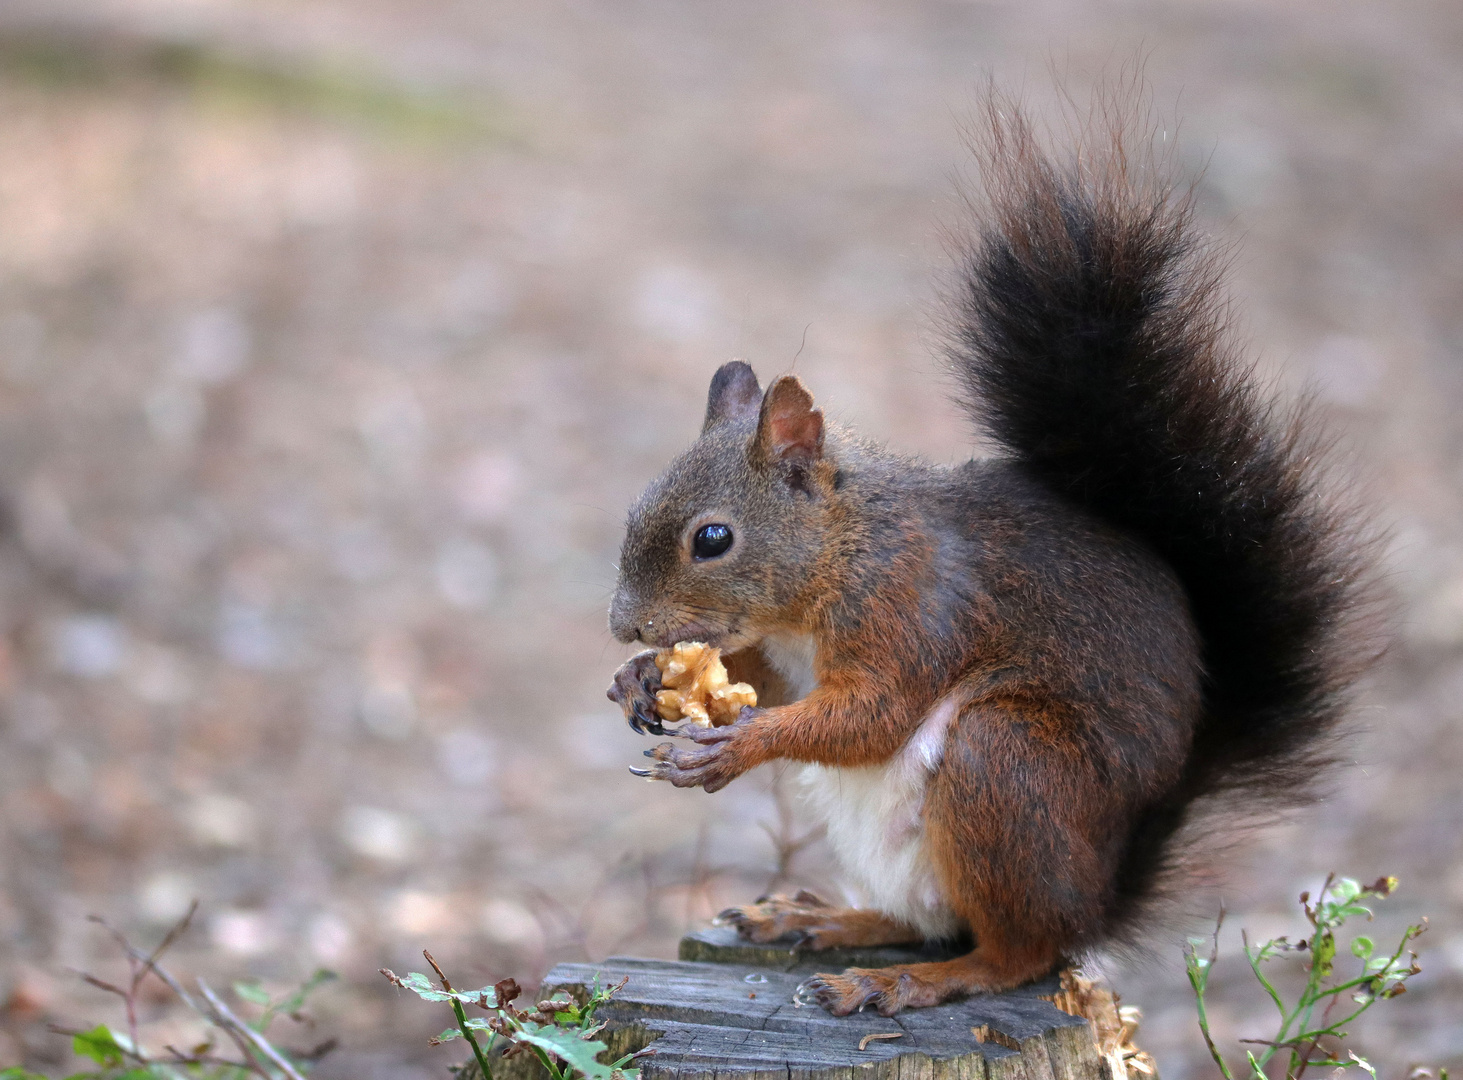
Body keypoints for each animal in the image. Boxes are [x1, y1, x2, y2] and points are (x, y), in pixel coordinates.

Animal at [599, 98, 1375, 1006]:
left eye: (712, 539)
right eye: (635, 508)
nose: (624, 626)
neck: (842, 550)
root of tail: (1101, 896)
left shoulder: (913, 605)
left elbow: (872, 714)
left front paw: (738, 744)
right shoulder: (794, 651)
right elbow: (778, 685)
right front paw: (638, 680)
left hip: (1005, 765)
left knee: (1015, 952)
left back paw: (914, 981)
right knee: (928, 917)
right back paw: (824, 922)